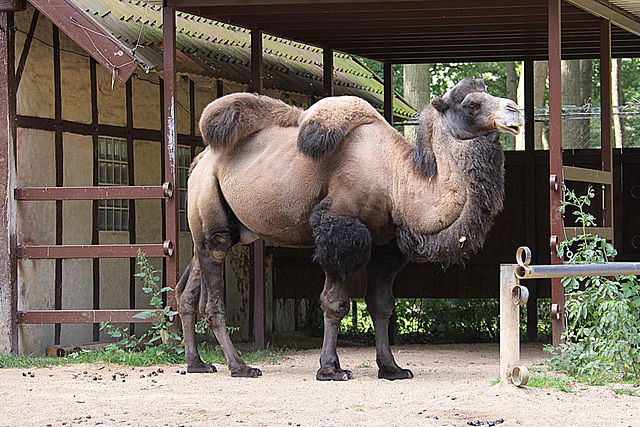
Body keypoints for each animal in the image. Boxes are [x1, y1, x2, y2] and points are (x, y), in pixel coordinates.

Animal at [176, 77, 524, 382]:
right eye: (471, 105)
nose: (515, 110)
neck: (395, 179)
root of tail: (198, 162)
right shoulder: (340, 229)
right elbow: (335, 302)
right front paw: (331, 369)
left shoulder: (387, 245)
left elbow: (382, 306)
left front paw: (392, 368)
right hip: (214, 224)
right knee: (212, 299)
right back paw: (240, 366)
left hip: (208, 230)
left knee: (188, 291)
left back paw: (197, 364)